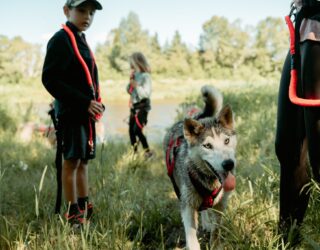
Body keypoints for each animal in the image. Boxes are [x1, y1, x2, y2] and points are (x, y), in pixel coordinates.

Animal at [164, 85, 236, 249]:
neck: (209, 181)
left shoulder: (221, 204)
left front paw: (214, 241)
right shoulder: (187, 207)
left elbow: (216, 231)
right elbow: (192, 238)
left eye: (227, 141)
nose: (229, 164)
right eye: (207, 146)